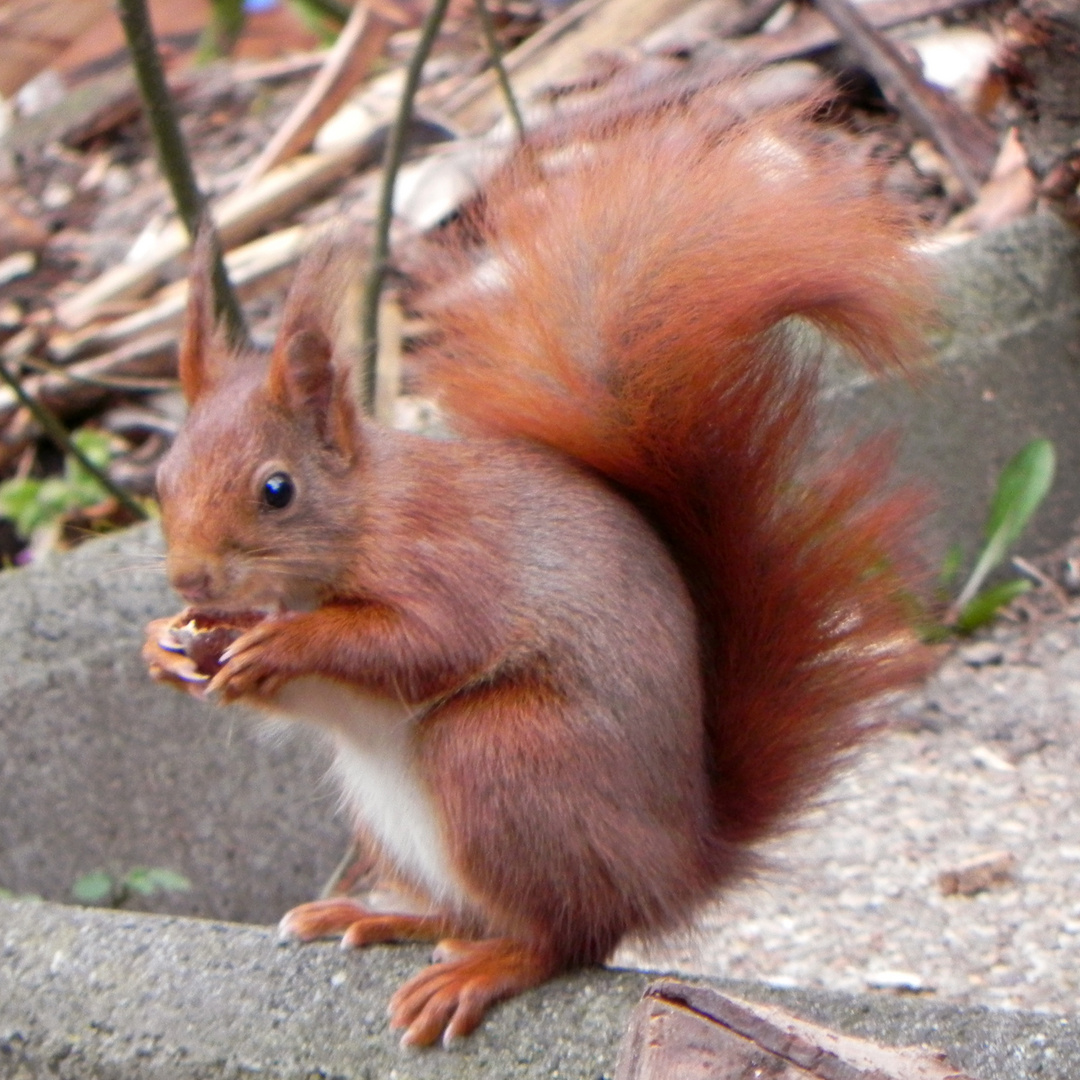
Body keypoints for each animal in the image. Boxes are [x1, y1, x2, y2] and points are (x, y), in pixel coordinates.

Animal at [145, 95, 937, 1045]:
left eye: (277, 490)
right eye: (159, 479)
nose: (191, 581)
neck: (362, 516)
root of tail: (679, 865)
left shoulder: (448, 557)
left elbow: (424, 643)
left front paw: (282, 645)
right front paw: (169, 647)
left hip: (502, 755)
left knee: (571, 935)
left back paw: (485, 966)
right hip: (387, 816)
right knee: (475, 911)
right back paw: (380, 914)